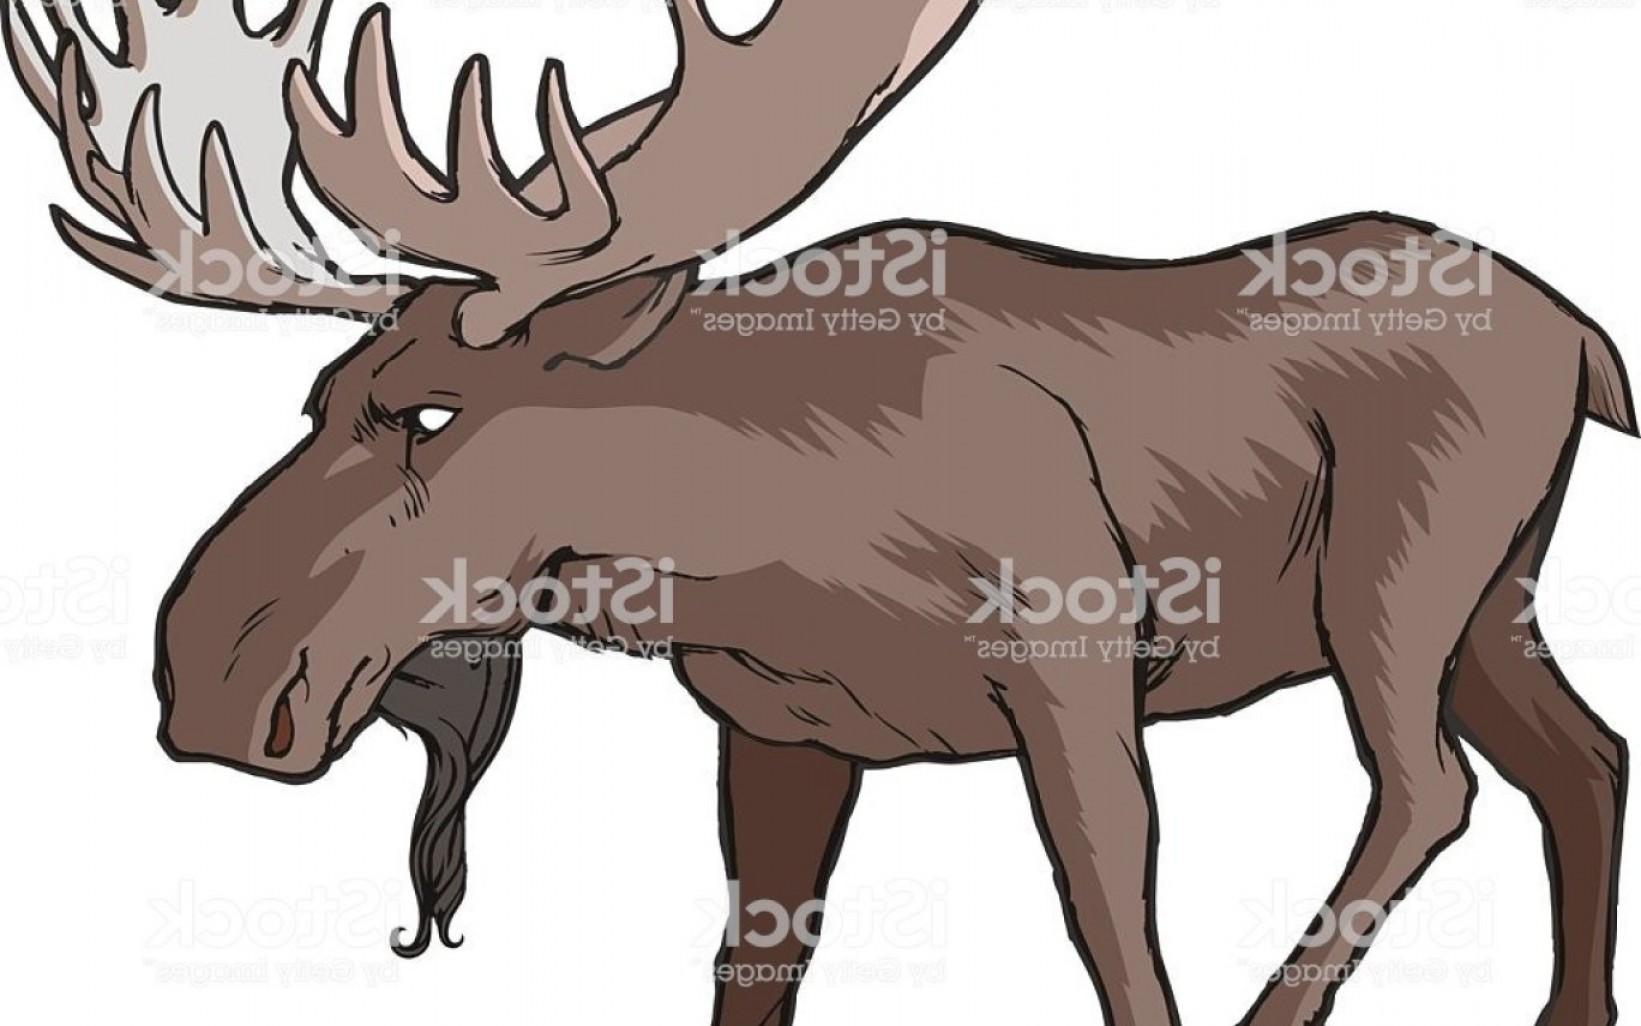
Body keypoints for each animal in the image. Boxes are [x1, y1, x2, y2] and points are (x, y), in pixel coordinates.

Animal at [3, 0, 1629, 1023]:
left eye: (429, 412)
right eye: (316, 399)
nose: (210, 682)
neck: (761, 532)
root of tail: (1586, 337)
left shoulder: (1079, 669)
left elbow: (1116, 941)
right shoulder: (776, 736)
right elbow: (752, 966)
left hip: (1397, 577)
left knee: (1428, 783)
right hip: (1499, 598)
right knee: (1582, 756)